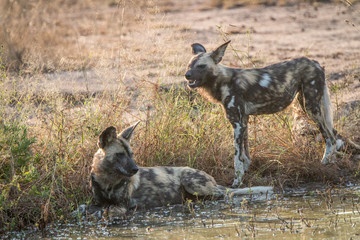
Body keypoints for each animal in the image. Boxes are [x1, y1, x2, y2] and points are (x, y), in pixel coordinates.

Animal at [88, 123, 272, 213]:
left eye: (132, 154)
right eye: (120, 155)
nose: (135, 170)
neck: (107, 181)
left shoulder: (122, 206)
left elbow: (105, 211)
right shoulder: (99, 201)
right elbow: (91, 208)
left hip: (193, 182)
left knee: (225, 194)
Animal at [186, 40, 360, 188]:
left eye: (201, 66)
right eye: (189, 65)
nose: (186, 75)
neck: (223, 81)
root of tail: (315, 62)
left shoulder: (237, 123)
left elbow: (237, 157)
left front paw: (237, 181)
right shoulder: (243, 121)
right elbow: (245, 153)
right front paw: (246, 171)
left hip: (311, 107)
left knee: (330, 136)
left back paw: (325, 163)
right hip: (307, 104)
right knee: (334, 133)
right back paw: (332, 162)